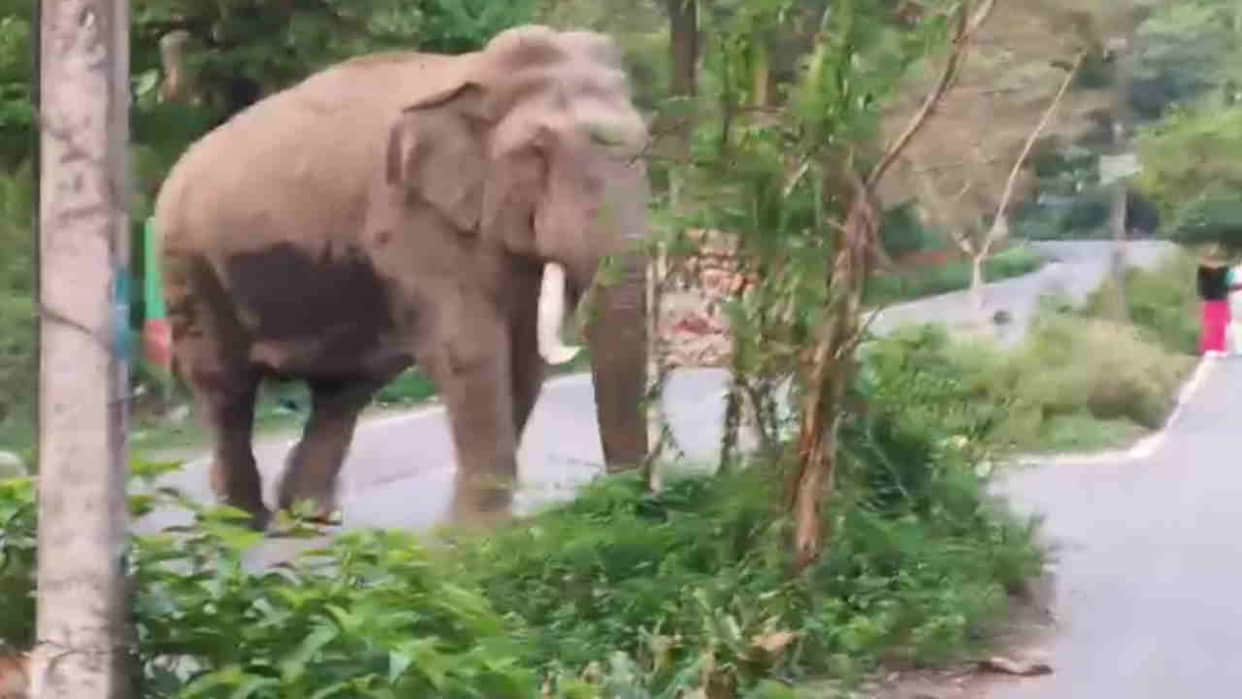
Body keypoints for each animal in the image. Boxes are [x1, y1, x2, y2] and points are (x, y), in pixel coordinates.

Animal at [153, 25, 651, 529]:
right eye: (537, 151)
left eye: (644, 147)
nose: (623, 502)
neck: (473, 73)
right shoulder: (409, 216)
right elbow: (470, 349)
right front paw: (474, 535)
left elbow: (526, 354)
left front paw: (481, 531)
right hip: (189, 263)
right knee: (224, 384)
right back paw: (243, 521)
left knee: (345, 386)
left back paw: (309, 515)